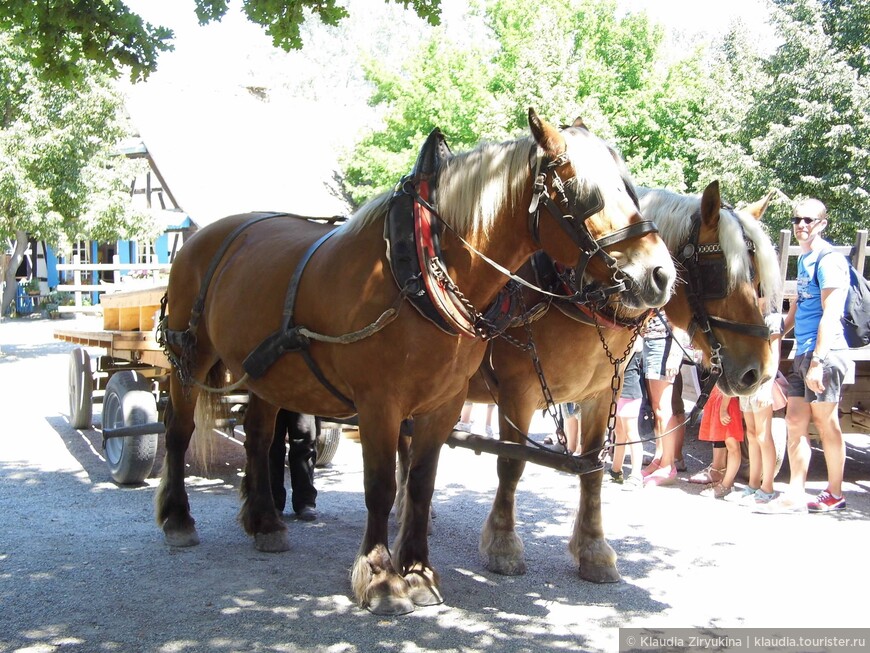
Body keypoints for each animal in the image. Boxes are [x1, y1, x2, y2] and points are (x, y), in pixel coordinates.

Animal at [153, 109, 676, 612]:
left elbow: (423, 484)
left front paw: (419, 572)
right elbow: (383, 486)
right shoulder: (382, 404)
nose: (660, 274)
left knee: (259, 438)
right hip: (190, 356)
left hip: (266, 373)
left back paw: (264, 521)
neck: (420, 268)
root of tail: (201, 237)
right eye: (583, 191)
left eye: (627, 185)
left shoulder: (446, 405)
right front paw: (381, 577)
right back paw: (179, 518)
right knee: (179, 430)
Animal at [464, 180, 784, 580]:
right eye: (718, 274)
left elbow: (592, 467)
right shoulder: (516, 394)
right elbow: (511, 464)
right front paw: (503, 544)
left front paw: (594, 550)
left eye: (757, 280)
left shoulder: (601, 396)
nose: (759, 372)